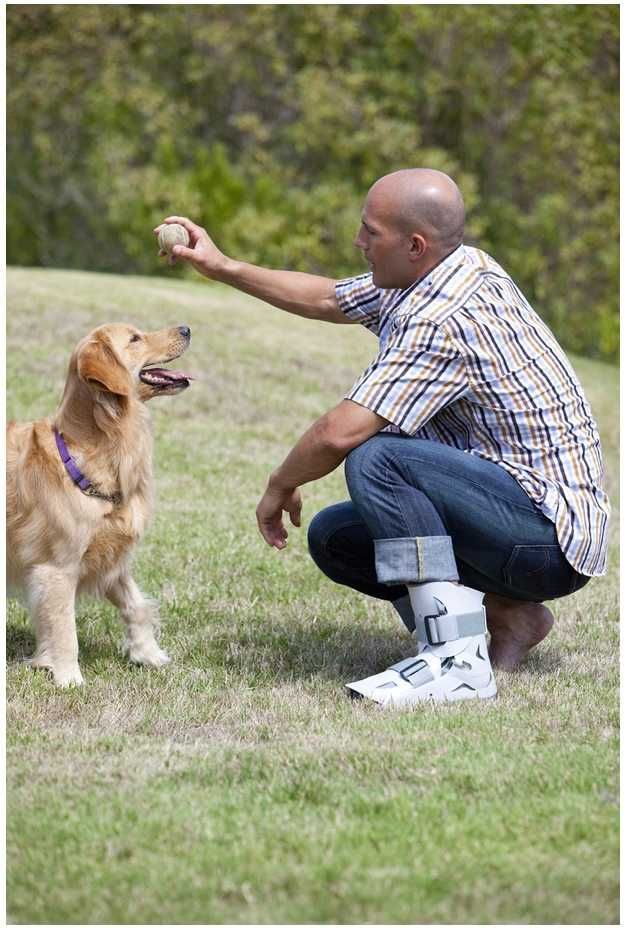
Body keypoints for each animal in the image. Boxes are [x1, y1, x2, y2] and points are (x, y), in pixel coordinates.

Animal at [6, 322, 191, 684]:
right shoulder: (57, 568)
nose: (187, 328)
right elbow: (64, 628)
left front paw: (148, 654)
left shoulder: (109, 555)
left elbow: (136, 606)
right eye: (135, 339)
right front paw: (68, 678)